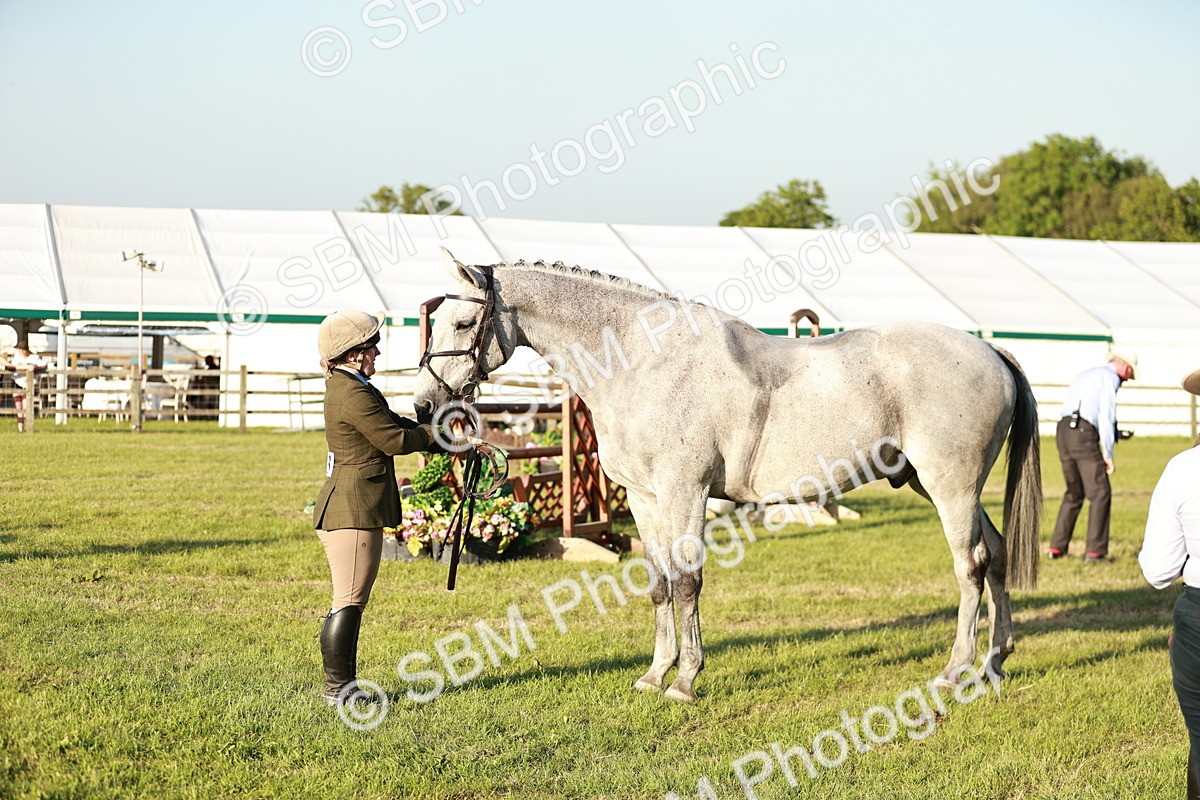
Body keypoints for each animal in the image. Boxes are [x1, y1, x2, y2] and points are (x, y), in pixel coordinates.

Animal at [414, 248, 1041, 703]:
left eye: (464, 321)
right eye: (436, 321)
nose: (424, 406)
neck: (645, 361)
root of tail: (991, 353)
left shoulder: (685, 493)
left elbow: (688, 581)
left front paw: (685, 680)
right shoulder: (643, 497)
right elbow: (659, 583)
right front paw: (655, 673)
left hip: (950, 487)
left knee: (970, 567)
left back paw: (955, 671)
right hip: (942, 488)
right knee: (997, 554)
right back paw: (995, 662)